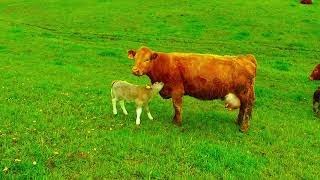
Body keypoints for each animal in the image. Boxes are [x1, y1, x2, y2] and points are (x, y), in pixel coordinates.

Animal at [127, 46, 258, 132]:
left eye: (147, 59)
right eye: (135, 58)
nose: (135, 70)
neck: (163, 65)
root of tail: (246, 57)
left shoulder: (177, 91)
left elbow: (177, 107)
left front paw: (177, 123)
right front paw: (174, 120)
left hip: (245, 93)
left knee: (247, 108)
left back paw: (243, 128)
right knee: (243, 108)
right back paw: (238, 122)